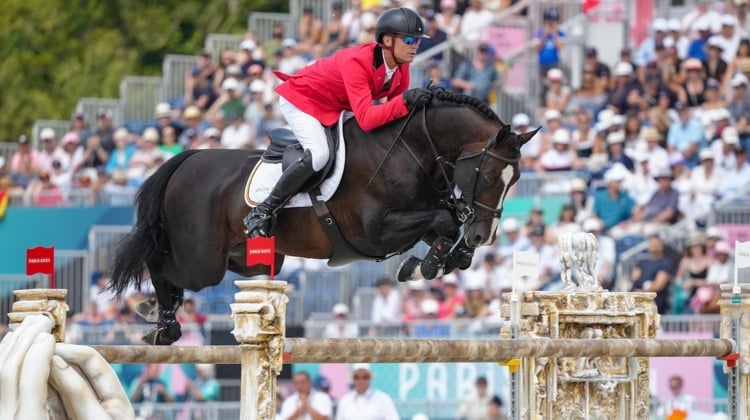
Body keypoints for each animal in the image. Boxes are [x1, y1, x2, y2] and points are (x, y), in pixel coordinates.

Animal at [108, 90, 536, 342]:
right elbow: (444, 223)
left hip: (251, 258)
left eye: (516, 180)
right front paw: (422, 265)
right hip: (202, 261)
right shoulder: (375, 231)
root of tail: (189, 158)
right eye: (488, 174)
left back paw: (159, 313)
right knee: (160, 263)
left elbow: (449, 235)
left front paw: (429, 264)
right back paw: (161, 320)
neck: (412, 149)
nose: (484, 235)